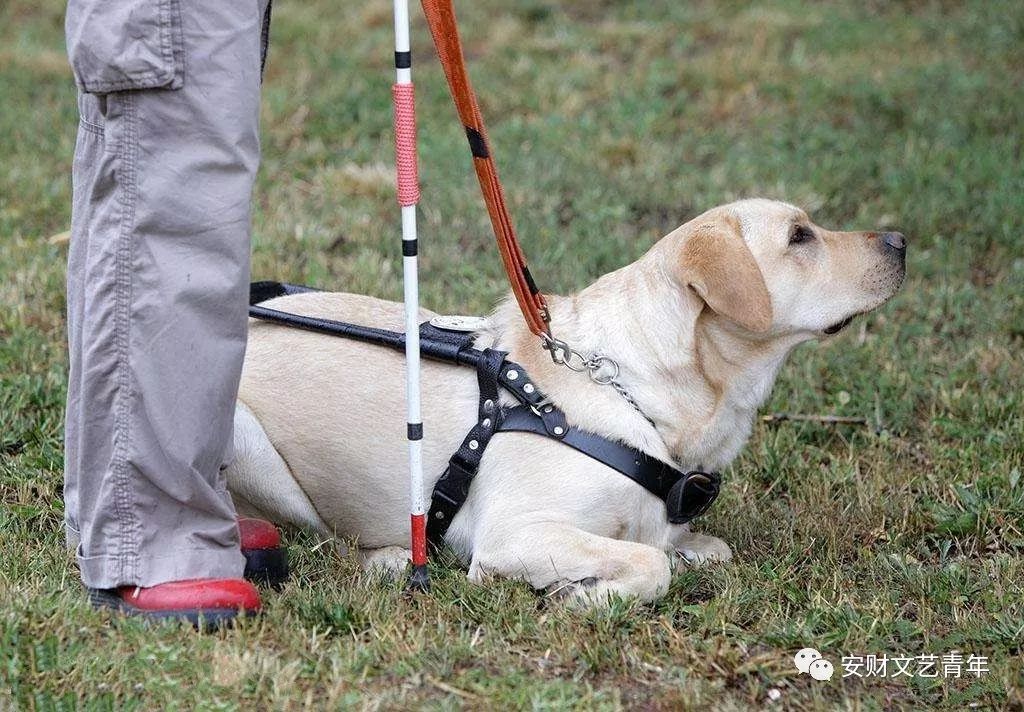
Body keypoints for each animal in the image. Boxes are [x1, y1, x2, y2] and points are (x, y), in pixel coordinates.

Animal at [224, 198, 905, 606]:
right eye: (800, 237)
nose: (901, 239)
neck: (635, 394)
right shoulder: (514, 533)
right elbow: (648, 564)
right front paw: (582, 594)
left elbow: (695, 549)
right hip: (246, 442)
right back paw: (392, 558)